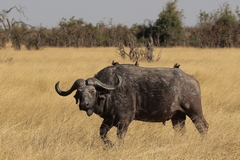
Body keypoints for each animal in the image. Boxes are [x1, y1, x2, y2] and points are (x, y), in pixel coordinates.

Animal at [54, 63, 208, 146]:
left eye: (92, 91)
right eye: (79, 93)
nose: (84, 105)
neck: (110, 93)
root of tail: (192, 79)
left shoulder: (124, 120)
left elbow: (120, 136)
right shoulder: (109, 119)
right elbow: (102, 133)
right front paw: (109, 145)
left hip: (194, 112)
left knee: (203, 127)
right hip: (178, 117)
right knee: (180, 131)